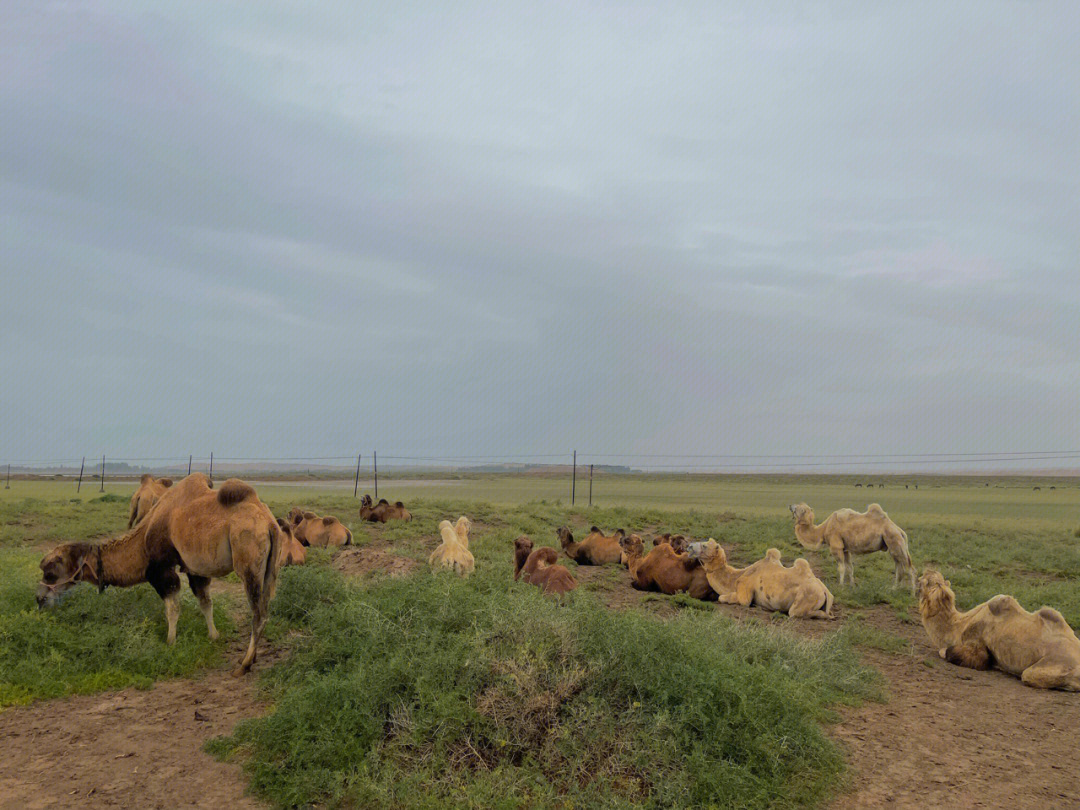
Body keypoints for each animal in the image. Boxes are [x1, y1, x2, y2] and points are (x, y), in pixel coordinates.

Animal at [37, 475, 280, 678]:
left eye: (50, 573)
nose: (39, 599)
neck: (141, 542)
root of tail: (269, 523)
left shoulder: (161, 569)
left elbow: (172, 607)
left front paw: (170, 641)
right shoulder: (194, 568)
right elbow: (205, 602)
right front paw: (214, 636)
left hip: (248, 559)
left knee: (258, 614)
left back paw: (244, 665)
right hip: (269, 569)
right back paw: (251, 658)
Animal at [682, 540, 833, 622]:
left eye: (705, 546)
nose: (689, 546)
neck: (735, 578)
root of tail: (825, 591)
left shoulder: (744, 591)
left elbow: (724, 598)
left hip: (805, 599)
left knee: (796, 612)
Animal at [915, 570, 1080, 691]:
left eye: (924, 581)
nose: (926, 571)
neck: (958, 625)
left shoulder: (975, 641)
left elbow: (952, 652)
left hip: (1051, 666)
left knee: (1030, 675)